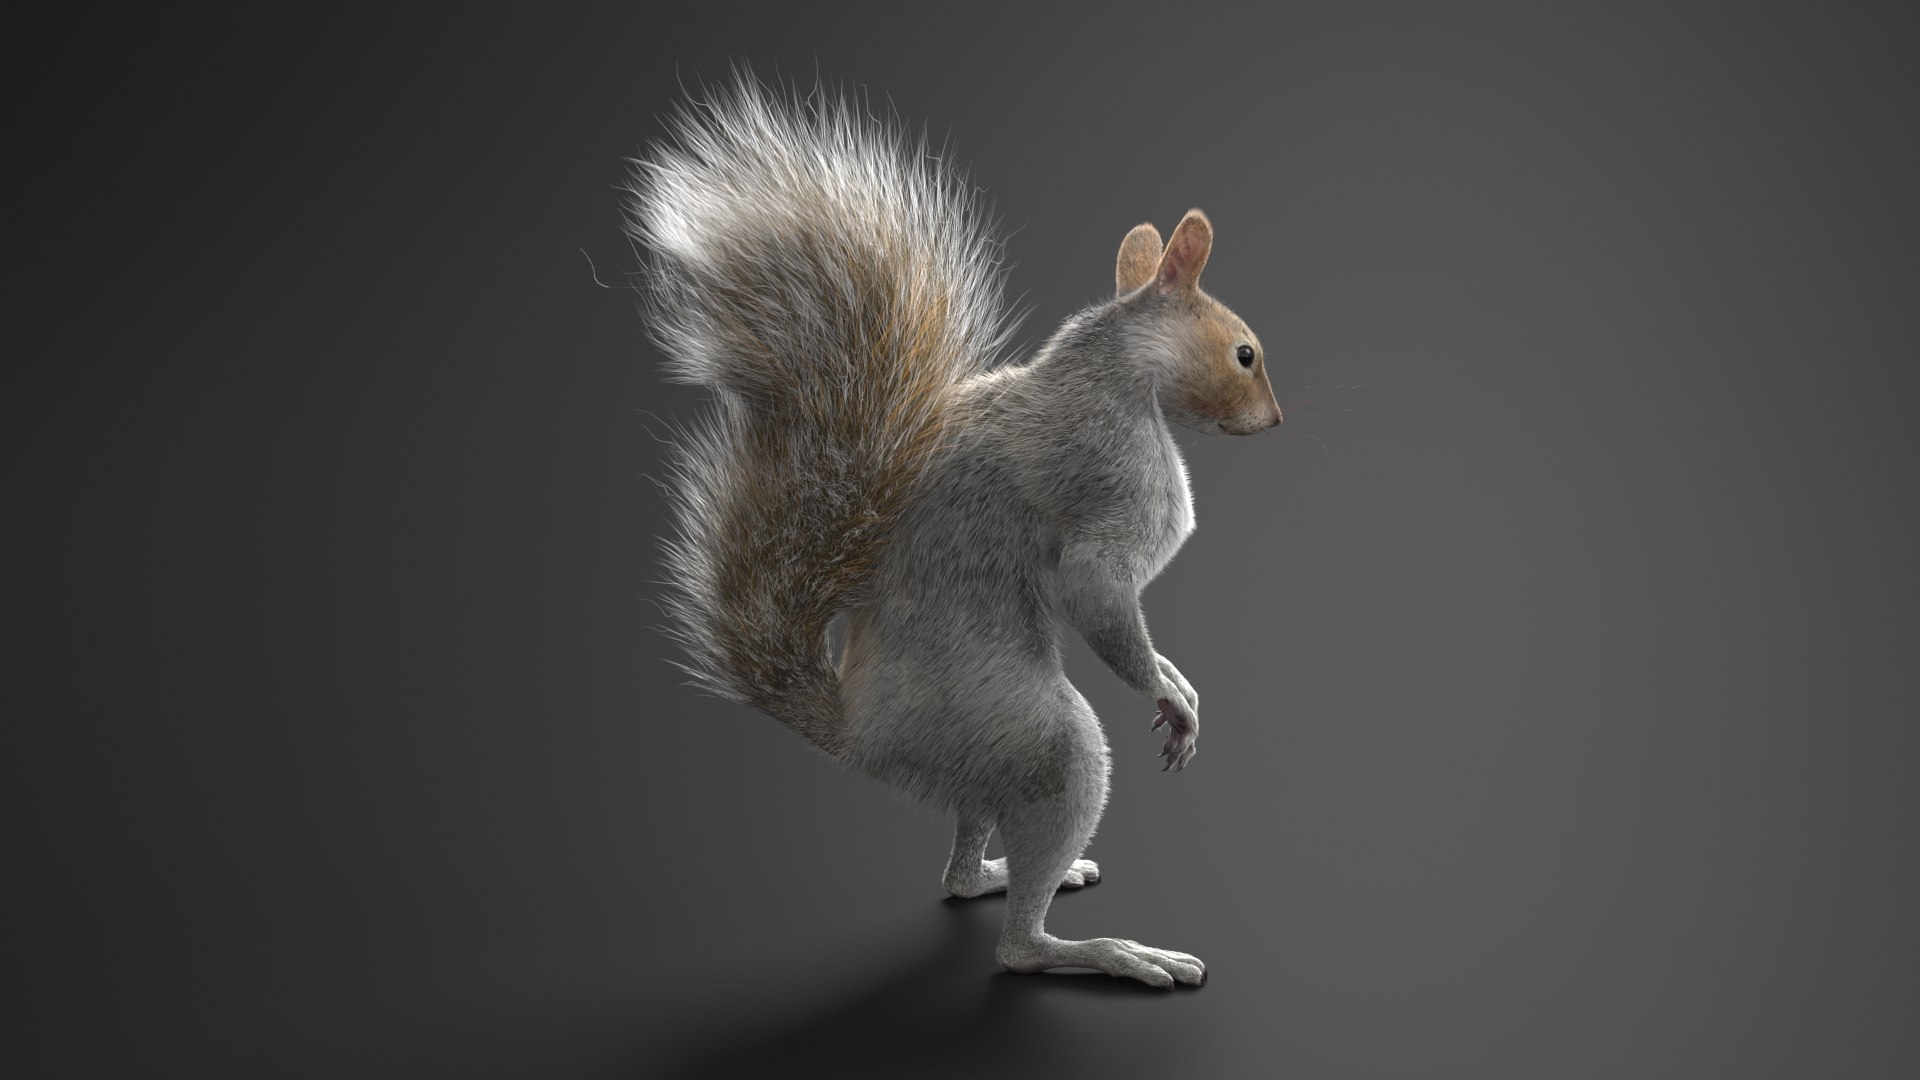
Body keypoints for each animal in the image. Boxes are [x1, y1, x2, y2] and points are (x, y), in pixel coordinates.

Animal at [623, 75, 1283, 988]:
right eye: (1245, 353)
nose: (1279, 420)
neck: (1118, 370)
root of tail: (858, 735)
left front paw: (1179, 679)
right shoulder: (1105, 484)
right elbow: (1098, 595)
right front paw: (1168, 693)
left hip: (987, 766)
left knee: (960, 873)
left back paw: (1008, 876)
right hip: (1043, 741)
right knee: (1016, 949)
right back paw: (1112, 952)